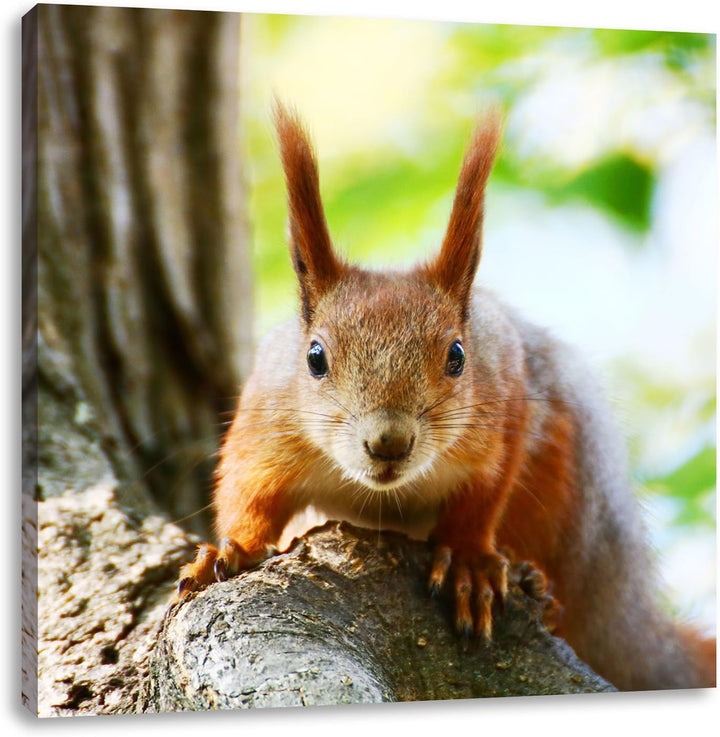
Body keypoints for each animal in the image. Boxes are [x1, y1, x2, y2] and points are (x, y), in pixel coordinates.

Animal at [176, 101, 716, 692]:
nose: (388, 442)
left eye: (458, 355)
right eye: (315, 357)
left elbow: (483, 495)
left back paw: (538, 587)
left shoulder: (504, 406)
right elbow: (248, 493)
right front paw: (231, 549)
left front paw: (467, 561)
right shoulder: (266, 423)